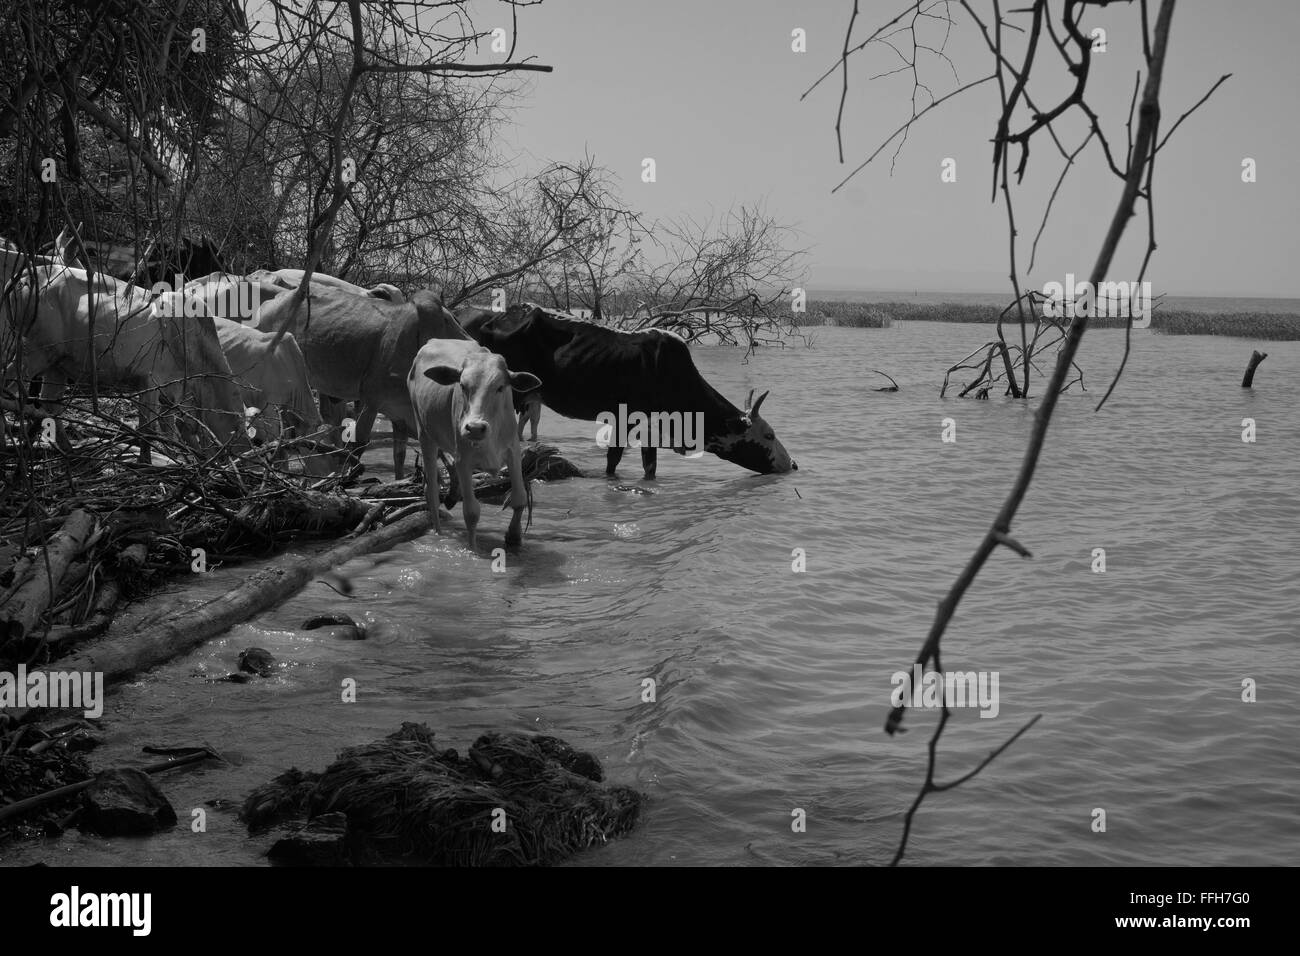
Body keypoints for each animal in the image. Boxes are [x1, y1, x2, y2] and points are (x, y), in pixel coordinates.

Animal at [254, 287, 466, 479]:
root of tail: (271, 302)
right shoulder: (372, 399)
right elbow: (360, 442)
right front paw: (347, 476)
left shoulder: (400, 413)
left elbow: (400, 453)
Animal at [407, 338, 541, 549]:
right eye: (462, 386)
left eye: (500, 387)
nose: (475, 428)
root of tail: (433, 340)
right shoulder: (464, 459)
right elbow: (471, 512)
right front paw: (473, 550)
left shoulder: (513, 451)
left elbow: (519, 498)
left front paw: (513, 536)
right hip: (424, 434)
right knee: (432, 493)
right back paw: (438, 534)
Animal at [458, 305, 797, 479]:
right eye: (768, 434)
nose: (792, 464)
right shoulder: (625, 418)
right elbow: (613, 460)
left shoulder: (650, 428)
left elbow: (650, 465)